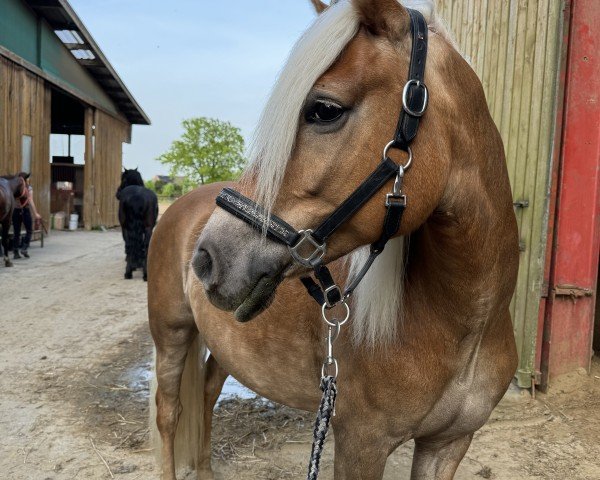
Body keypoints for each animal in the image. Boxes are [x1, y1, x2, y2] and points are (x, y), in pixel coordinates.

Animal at [148, 0, 516, 480]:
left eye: (324, 110)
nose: (208, 257)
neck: (465, 323)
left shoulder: (448, 444)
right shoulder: (362, 444)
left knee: (207, 392)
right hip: (170, 332)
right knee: (169, 411)